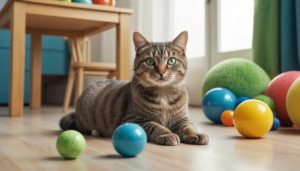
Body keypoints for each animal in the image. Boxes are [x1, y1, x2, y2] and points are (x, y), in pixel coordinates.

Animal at [59, 31, 209, 146]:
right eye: (150, 61)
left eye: (171, 60)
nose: (161, 72)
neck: (164, 95)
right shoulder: (133, 119)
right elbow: (156, 126)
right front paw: (167, 134)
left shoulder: (182, 119)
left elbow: (188, 127)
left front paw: (196, 134)